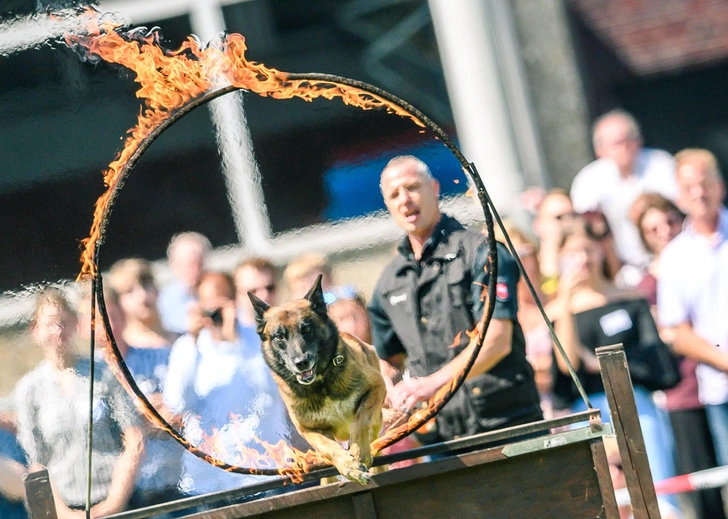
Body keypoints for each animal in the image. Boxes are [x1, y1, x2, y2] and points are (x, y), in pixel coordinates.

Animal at [249, 276, 386, 484]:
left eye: (306, 329)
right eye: (279, 336)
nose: (301, 363)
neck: (320, 383)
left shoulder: (376, 387)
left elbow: (360, 420)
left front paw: (358, 453)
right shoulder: (310, 430)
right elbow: (331, 448)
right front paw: (350, 467)